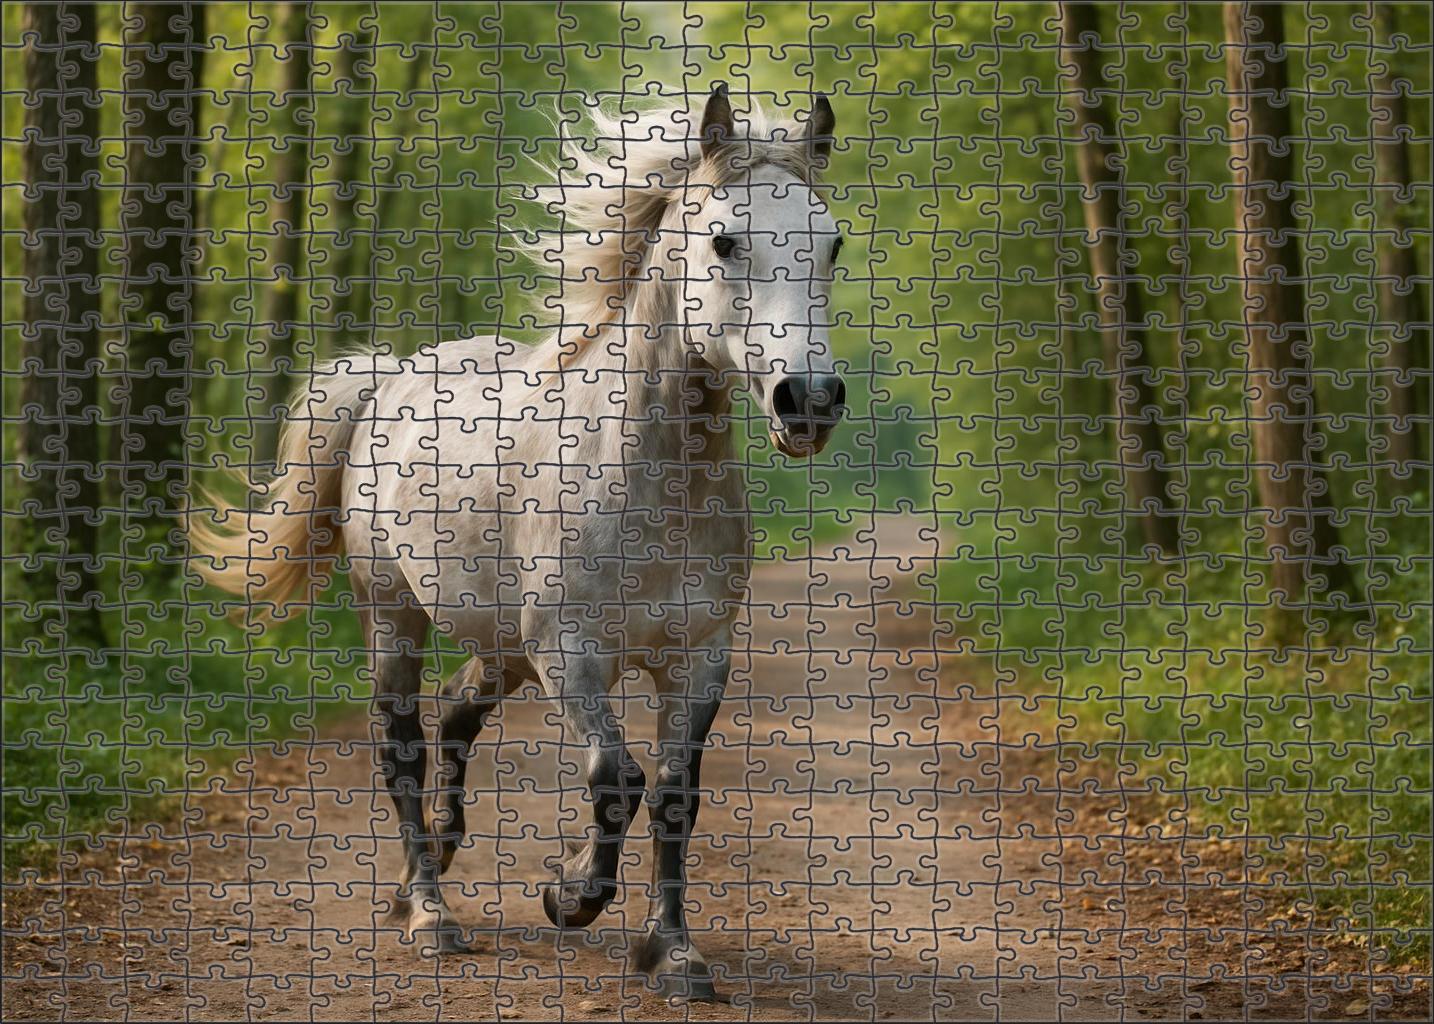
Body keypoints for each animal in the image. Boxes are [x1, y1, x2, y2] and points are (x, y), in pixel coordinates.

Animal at [190, 84, 845, 1003]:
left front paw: (673, 954)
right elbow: (617, 778)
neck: (646, 481)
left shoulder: (698, 658)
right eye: (724, 239)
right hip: (395, 615)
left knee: (458, 711)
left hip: (502, 645)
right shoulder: (569, 652)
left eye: (832, 243)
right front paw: (569, 895)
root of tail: (389, 378)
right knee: (402, 743)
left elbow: (675, 795)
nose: (809, 400)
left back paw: (434, 856)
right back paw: (429, 912)